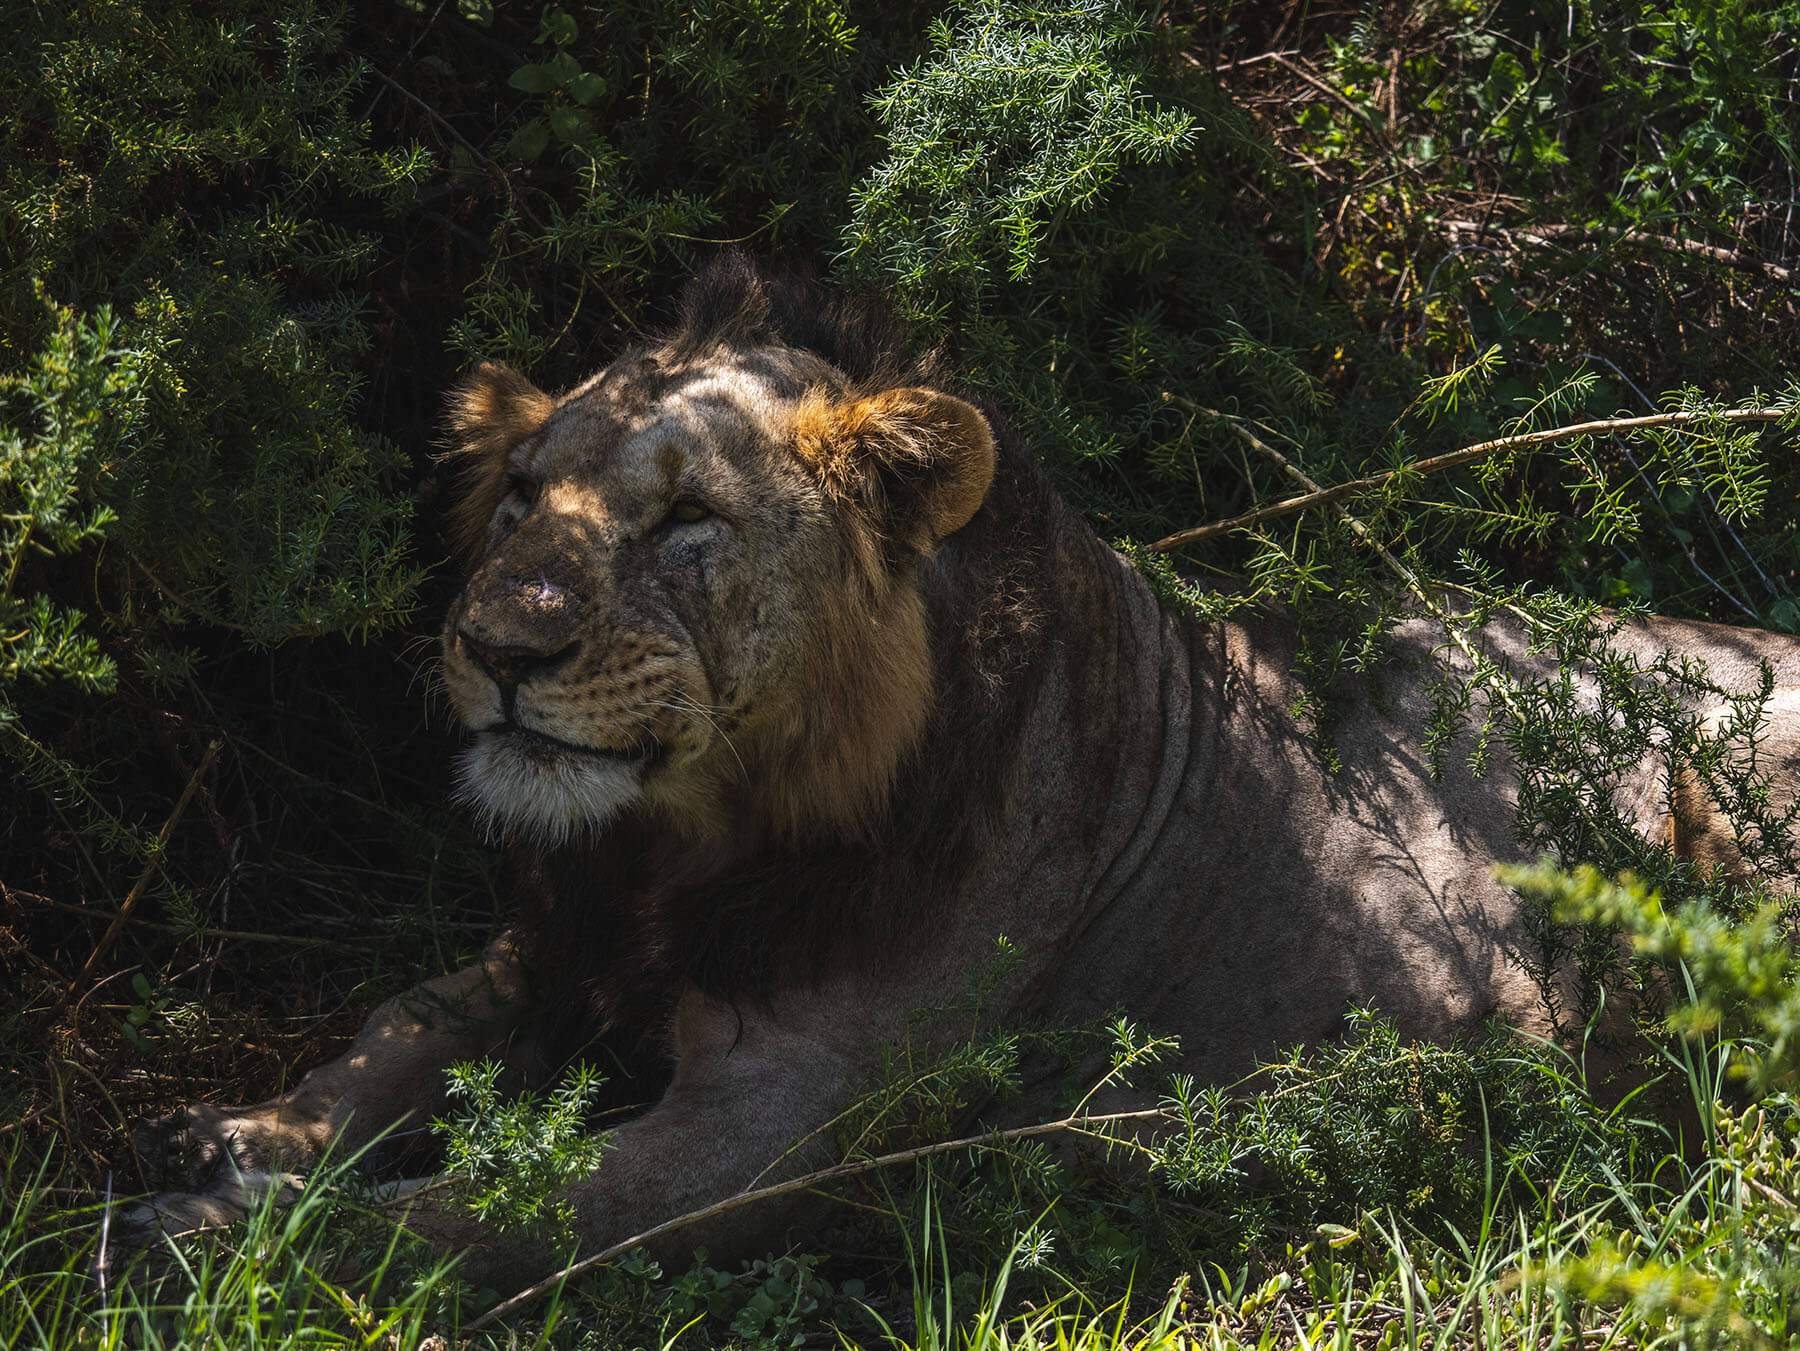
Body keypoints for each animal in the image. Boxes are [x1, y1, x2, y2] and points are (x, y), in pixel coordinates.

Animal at [129, 257, 1800, 1290]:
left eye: (685, 521)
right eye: (522, 498)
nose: (494, 647)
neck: (681, 845)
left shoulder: (770, 1134)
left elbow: (470, 1215)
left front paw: (201, 1241)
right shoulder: (559, 942)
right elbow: (400, 1028)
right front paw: (254, 1139)